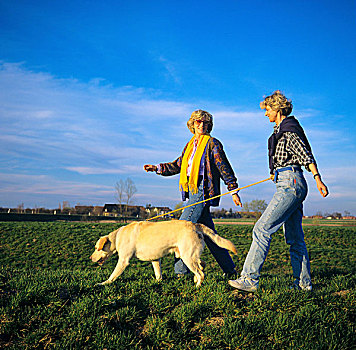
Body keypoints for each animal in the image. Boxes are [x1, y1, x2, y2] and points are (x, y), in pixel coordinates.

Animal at [90, 221, 238, 288]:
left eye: (97, 248)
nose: (91, 258)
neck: (117, 237)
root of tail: (195, 224)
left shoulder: (123, 261)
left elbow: (112, 275)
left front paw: (103, 283)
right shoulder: (155, 259)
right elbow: (158, 273)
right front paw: (157, 282)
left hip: (187, 257)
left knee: (200, 273)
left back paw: (197, 286)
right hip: (188, 255)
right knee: (201, 265)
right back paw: (196, 278)